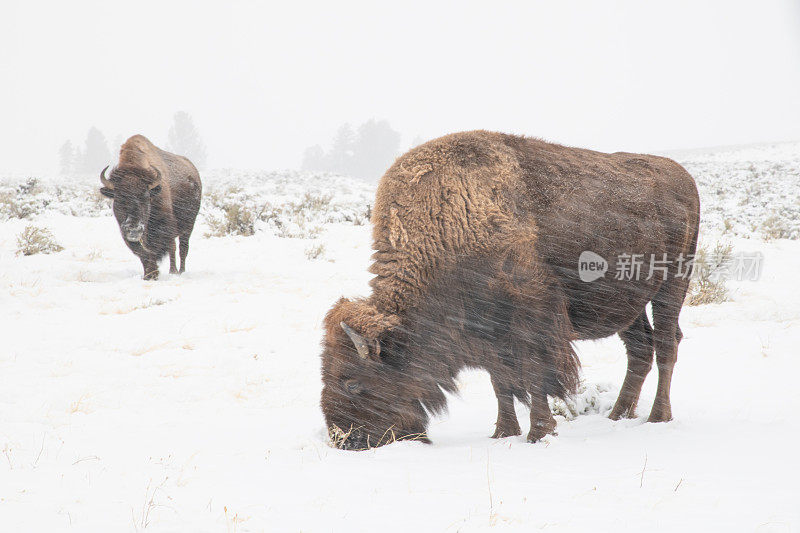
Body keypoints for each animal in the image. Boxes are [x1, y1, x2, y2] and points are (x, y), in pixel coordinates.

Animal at [99, 134, 203, 278]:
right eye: (119, 198)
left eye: (145, 197)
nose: (134, 229)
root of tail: (194, 173)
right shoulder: (127, 233)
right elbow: (142, 251)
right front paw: (149, 274)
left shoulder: (165, 226)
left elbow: (164, 247)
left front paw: (157, 273)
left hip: (188, 226)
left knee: (182, 248)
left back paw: (178, 271)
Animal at [318, 130, 700, 448]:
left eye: (351, 382)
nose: (343, 440)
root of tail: (682, 176)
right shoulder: (487, 334)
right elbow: (500, 382)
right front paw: (503, 432)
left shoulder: (530, 320)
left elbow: (534, 374)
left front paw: (539, 433)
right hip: (628, 304)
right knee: (640, 350)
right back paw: (617, 415)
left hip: (672, 286)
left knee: (666, 344)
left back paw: (657, 417)